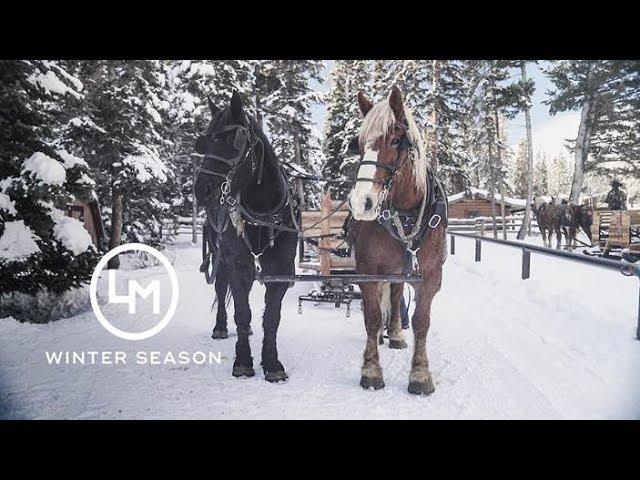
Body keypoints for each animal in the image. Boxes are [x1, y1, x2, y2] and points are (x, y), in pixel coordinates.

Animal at [194, 90, 298, 382]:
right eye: (205, 140)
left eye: (235, 140)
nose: (201, 189)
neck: (263, 211)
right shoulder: (237, 262)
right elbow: (242, 311)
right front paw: (243, 360)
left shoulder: (281, 268)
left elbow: (271, 317)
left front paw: (272, 363)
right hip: (220, 256)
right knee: (221, 288)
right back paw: (220, 326)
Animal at [348, 85, 448, 394]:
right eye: (359, 144)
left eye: (394, 139)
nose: (361, 202)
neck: (405, 214)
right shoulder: (367, 270)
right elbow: (371, 317)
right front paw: (371, 369)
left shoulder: (430, 274)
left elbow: (421, 321)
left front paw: (420, 374)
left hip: (401, 270)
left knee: (395, 295)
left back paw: (394, 334)